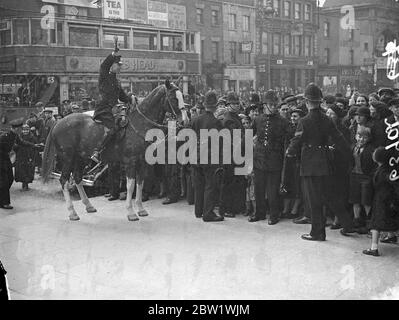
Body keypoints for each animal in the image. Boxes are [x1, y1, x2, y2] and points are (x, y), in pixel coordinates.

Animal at [42, 79, 186, 221]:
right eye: (174, 98)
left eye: (182, 97)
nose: (185, 120)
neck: (140, 123)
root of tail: (59, 122)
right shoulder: (130, 162)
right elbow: (130, 185)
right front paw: (131, 212)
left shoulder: (142, 162)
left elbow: (140, 183)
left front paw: (141, 209)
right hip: (67, 158)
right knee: (64, 180)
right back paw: (72, 212)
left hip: (81, 158)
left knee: (77, 177)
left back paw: (89, 206)